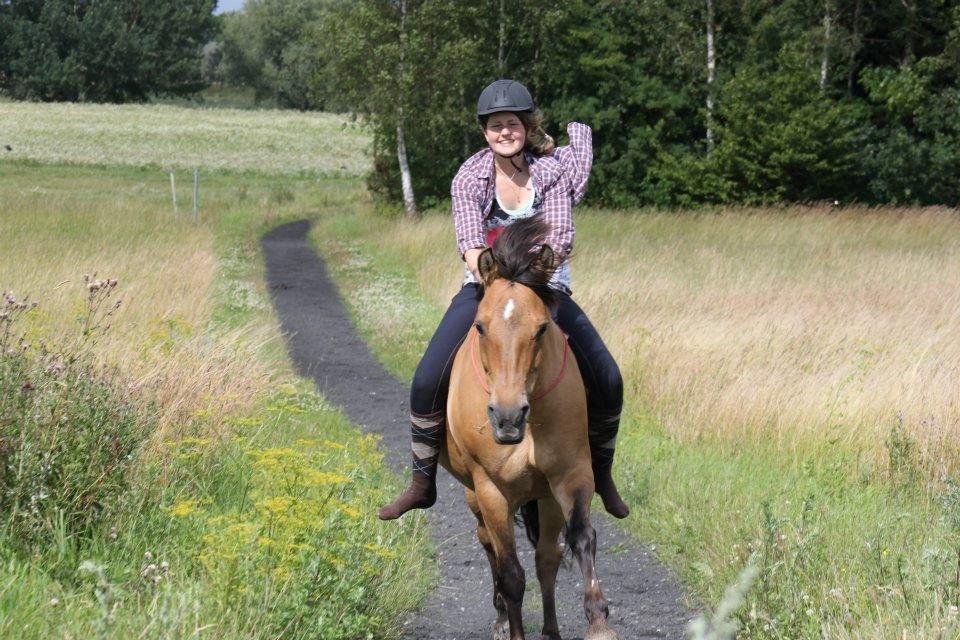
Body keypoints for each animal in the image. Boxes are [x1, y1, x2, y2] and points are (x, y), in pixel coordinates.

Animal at [438, 219, 620, 640]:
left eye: (541, 329)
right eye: (480, 327)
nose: (508, 417)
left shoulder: (570, 474)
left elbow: (580, 538)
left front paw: (599, 623)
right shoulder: (490, 490)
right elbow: (510, 574)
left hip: (545, 495)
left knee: (547, 557)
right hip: (475, 495)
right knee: (489, 545)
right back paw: (501, 618)